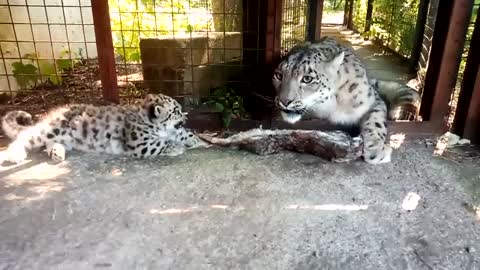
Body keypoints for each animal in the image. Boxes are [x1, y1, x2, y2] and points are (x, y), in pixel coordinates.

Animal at [274, 37, 420, 165]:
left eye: (307, 79)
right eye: (278, 75)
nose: (284, 101)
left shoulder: (373, 100)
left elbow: (376, 120)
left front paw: (375, 150)